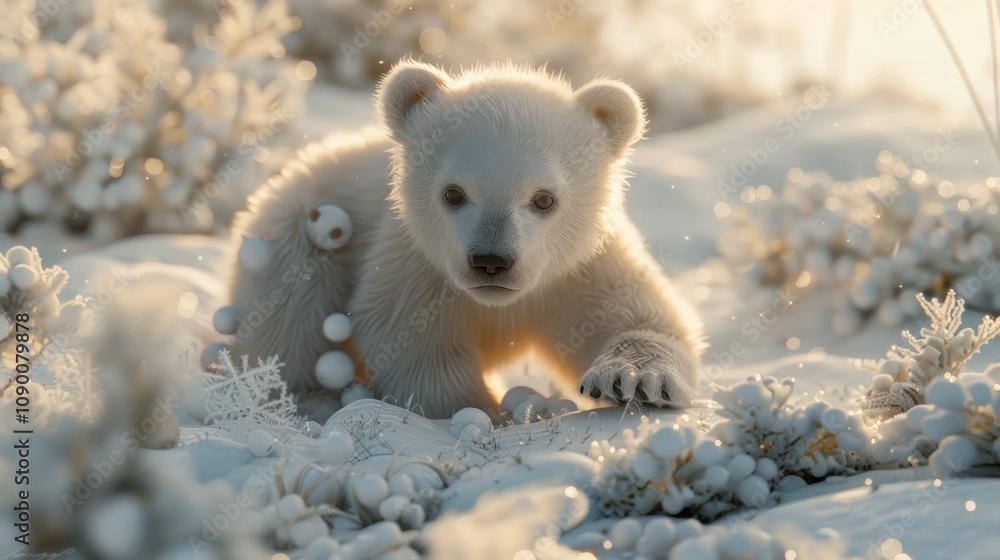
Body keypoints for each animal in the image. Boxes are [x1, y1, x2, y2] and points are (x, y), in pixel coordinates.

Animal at [225, 61, 704, 419]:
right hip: (297, 237)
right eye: (453, 193)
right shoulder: (417, 265)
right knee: (291, 314)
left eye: (544, 198)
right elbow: (413, 344)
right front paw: (490, 412)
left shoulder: (579, 266)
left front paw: (632, 381)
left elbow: (634, 315)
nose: (491, 261)